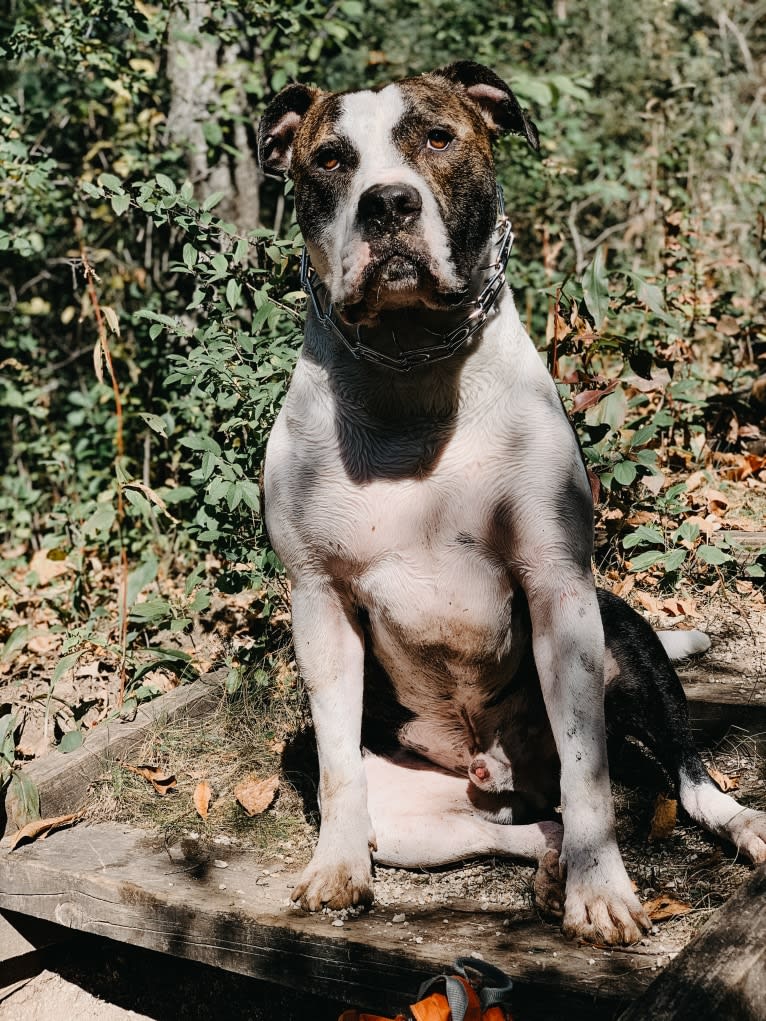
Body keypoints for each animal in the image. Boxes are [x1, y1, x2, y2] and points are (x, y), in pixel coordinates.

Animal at [259, 59, 766, 943]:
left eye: (438, 138)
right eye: (329, 159)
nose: (387, 203)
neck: (411, 374)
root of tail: (497, 771)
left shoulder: (559, 587)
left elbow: (591, 776)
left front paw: (603, 892)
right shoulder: (317, 599)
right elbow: (333, 772)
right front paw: (334, 868)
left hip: (624, 641)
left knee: (683, 776)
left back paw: (732, 826)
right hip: (420, 817)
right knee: (529, 823)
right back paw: (549, 864)